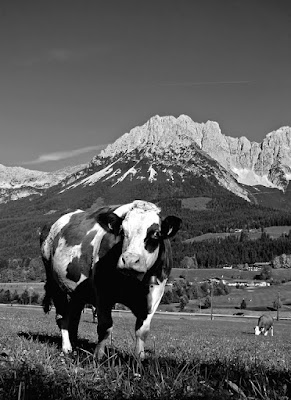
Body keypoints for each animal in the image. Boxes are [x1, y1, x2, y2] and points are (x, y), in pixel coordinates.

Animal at [40, 200, 181, 360]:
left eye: (156, 234)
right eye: (123, 232)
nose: (130, 260)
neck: (133, 284)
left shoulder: (155, 294)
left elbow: (142, 330)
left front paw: (139, 359)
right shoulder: (102, 291)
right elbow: (105, 326)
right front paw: (98, 356)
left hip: (77, 292)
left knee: (74, 317)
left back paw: (75, 346)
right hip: (55, 284)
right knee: (62, 317)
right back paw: (67, 348)